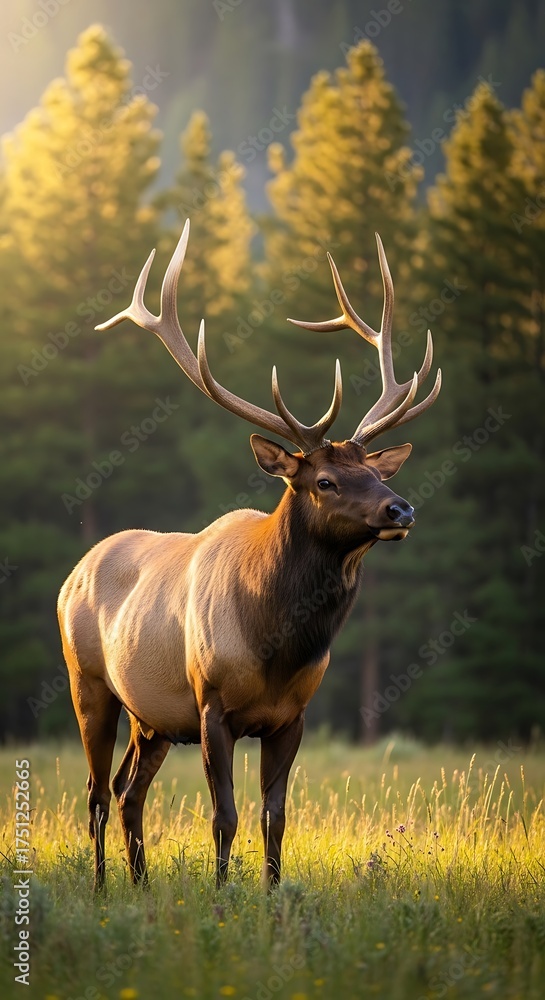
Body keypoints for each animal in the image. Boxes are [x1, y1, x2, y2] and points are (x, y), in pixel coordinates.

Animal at [58, 219, 441, 892]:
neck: (277, 646)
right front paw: (221, 893)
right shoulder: (212, 706)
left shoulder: (292, 716)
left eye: (374, 471)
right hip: (90, 685)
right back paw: (104, 888)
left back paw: (140, 884)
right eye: (325, 481)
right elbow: (225, 816)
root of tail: (72, 576)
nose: (401, 510)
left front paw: (271, 893)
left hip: (151, 718)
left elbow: (274, 817)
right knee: (98, 793)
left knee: (130, 792)